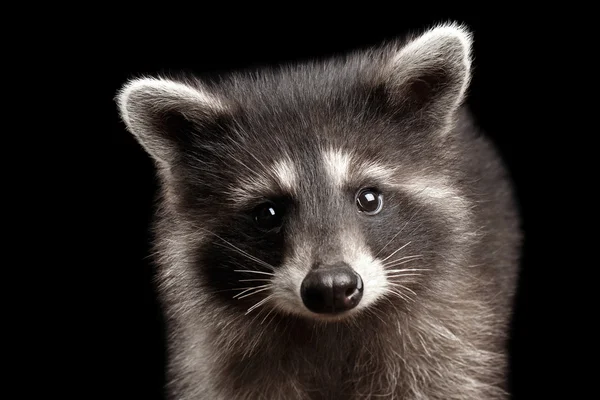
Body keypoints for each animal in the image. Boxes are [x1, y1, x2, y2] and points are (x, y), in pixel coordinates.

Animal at [116, 21, 520, 400]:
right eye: (268, 214)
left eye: (368, 199)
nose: (332, 286)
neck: (332, 327)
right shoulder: (224, 364)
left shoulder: (446, 342)